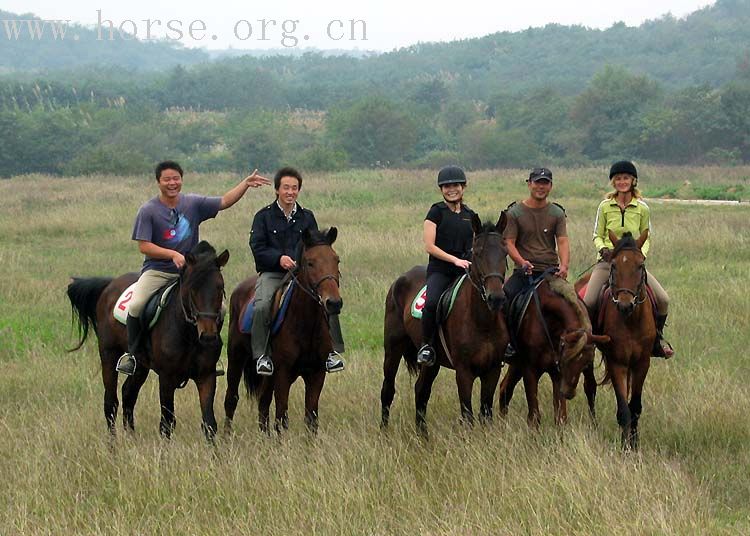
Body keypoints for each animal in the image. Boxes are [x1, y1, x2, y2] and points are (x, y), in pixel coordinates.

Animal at [68, 242, 231, 440]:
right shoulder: (167, 378)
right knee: (111, 402)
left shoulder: (206, 375)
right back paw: (113, 444)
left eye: (220, 287)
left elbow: (209, 423)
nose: (208, 337)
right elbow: (167, 424)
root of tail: (110, 285)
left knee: (128, 394)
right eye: (192, 288)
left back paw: (131, 437)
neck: (188, 334)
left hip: (140, 365)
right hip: (109, 354)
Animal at [223, 227, 340, 436]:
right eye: (310, 263)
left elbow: (311, 419)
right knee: (231, 399)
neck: (306, 323)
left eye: (336, 260)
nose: (333, 303)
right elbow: (281, 418)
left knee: (262, 403)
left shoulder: (317, 374)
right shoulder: (283, 375)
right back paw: (226, 437)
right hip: (236, 358)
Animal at [382, 214, 512, 436]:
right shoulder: (464, 371)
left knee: (421, 390)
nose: (496, 298)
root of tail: (399, 280)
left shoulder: (492, 369)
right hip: (393, 349)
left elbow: (486, 413)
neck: (482, 322)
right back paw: (384, 431)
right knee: (388, 390)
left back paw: (423, 435)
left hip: (431, 363)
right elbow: (467, 415)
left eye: (504, 252)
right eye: (477, 253)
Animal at [500, 272, 612, 428]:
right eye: (568, 360)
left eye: (585, 364)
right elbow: (534, 416)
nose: (568, 393)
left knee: (505, 388)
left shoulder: (557, 374)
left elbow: (560, 417)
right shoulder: (530, 369)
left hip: (517, 365)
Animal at [580, 228, 656, 450]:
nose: (624, 305)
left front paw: (635, 444)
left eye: (640, 265)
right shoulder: (617, 363)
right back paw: (594, 425)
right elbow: (624, 409)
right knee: (590, 387)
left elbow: (635, 407)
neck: (631, 320)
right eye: (614, 265)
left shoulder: (641, 363)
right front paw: (625, 448)